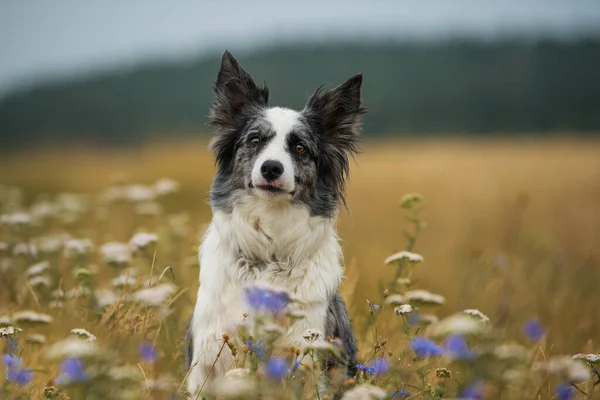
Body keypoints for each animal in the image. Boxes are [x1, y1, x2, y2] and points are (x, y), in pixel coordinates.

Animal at [186, 50, 366, 396]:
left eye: (300, 147)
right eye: (254, 139)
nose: (271, 168)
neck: (270, 252)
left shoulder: (308, 355)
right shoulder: (207, 359)